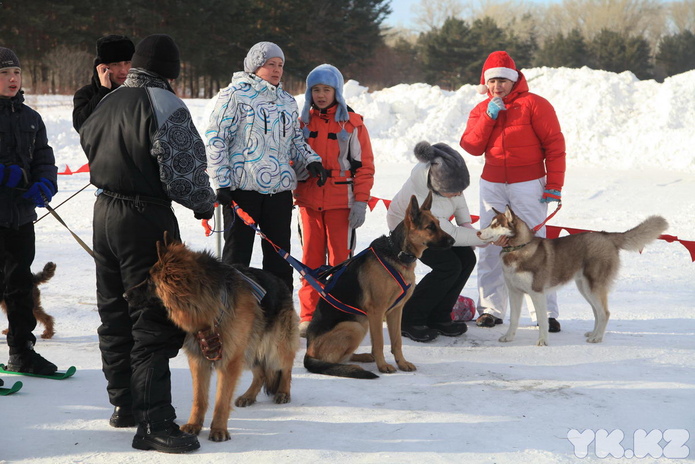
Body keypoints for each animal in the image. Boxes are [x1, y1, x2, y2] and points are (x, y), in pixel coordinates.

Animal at [125, 236, 300, 442]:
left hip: (274, 347)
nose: (125, 295)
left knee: (285, 366)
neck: (207, 308)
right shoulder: (199, 359)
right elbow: (199, 398)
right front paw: (194, 425)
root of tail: (281, 283)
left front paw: (218, 429)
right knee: (261, 373)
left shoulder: (229, 361)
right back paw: (249, 396)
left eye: (149, 282)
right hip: (249, 349)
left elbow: (221, 400)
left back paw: (283, 392)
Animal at [304, 192, 456, 376]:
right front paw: (383, 366)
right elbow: (379, 343)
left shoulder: (396, 311)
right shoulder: (376, 312)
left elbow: (397, 341)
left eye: (439, 225)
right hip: (356, 326)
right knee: (333, 361)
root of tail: (308, 352)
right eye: (430, 227)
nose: (453, 241)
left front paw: (401, 363)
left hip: (361, 322)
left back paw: (363, 357)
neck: (397, 253)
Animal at [478, 206, 668, 344]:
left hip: (593, 288)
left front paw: (543, 341)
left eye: (496, 225)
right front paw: (509, 337)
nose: (478, 232)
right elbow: (513, 319)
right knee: (597, 312)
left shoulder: (537, 293)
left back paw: (597, 338)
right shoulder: (515, 292)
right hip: (585, 288)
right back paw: (593, 333)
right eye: (490, 223)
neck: (518, 249)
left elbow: (543, 320)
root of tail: (606, 235)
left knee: (605, 313)